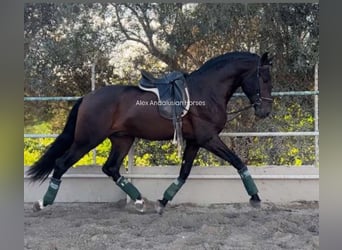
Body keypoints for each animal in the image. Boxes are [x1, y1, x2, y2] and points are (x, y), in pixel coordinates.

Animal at [26, 51, 272, 214]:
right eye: (264, 78)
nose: (265, 111)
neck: (206, 91)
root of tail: (87, 97)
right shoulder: (209, 138)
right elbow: (238, 162)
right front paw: (255, 198)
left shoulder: (195, 142)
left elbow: (184, 173)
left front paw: (162, 202)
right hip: (87, 140)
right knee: (61, 164)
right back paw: (43, 203)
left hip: (122, 140)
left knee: (111, 168)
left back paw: (139, 201)